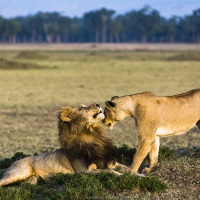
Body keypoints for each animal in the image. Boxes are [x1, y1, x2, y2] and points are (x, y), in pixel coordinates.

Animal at [0, 104, 128, 187]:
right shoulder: (85, 172)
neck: (93, 135)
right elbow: (110, 172)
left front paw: (132, 174)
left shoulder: (110, 162)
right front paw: (121, 176)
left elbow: (126, 168)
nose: (98, 104)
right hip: (19, 172)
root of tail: (14, 162)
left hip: (32, 179)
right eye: (82, 107)